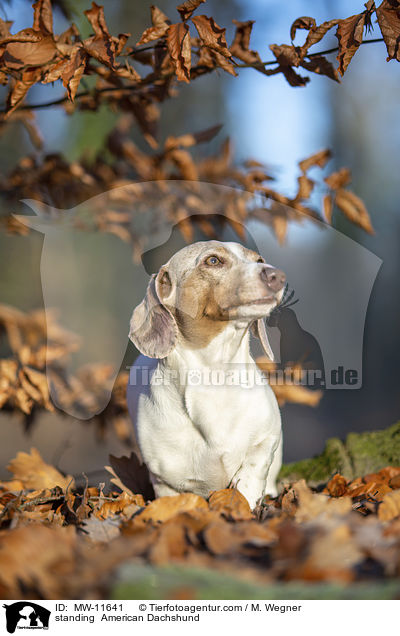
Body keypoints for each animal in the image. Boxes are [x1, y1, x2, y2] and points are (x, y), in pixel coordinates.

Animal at [126, 241, 286, 510]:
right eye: (213, 261)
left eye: (259, 259)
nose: (279, 276)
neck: (216, 374)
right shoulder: (165, 481)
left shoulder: (265, 441)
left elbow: (250, 479)